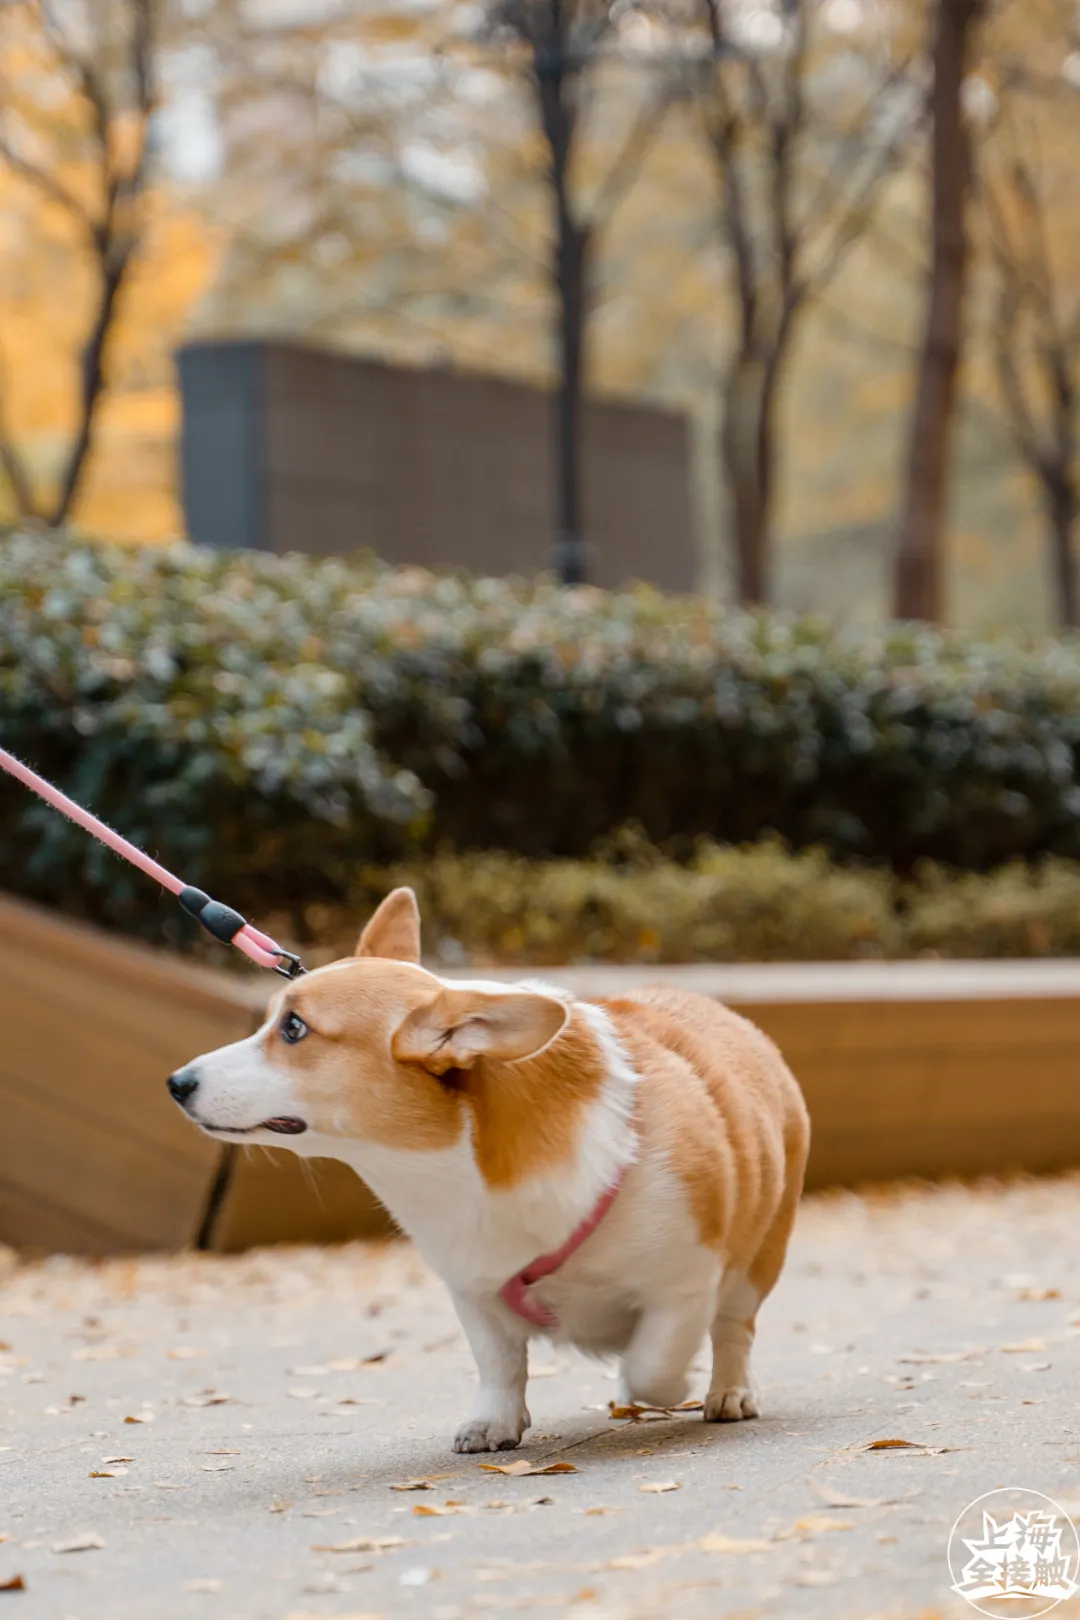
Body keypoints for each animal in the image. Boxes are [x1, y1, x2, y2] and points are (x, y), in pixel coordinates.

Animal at [166, 887, 809, 1458]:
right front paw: (495, 1423)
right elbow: (499, 1364)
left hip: (761, 1256)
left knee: (733, 1328)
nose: (176, 1083)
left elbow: (654, 1364)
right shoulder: (473, 1290)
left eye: (295, 1028)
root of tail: (725, 1013)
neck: (456, 1164)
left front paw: (659, 1383)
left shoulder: (686, 1282)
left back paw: (729, 1392)